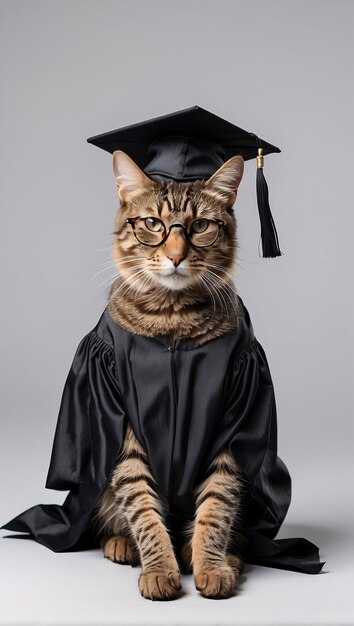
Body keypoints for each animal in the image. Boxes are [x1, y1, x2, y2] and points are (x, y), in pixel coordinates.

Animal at [97, 150, 246, 600]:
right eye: (153, 224)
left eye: (199, 227)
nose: (177, 255)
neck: (172, 320)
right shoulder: (124, 427)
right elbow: (143, 509)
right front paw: (159, 568)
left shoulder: (229, 420)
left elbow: (216, 508)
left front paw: (210, 564)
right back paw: (121, 544)